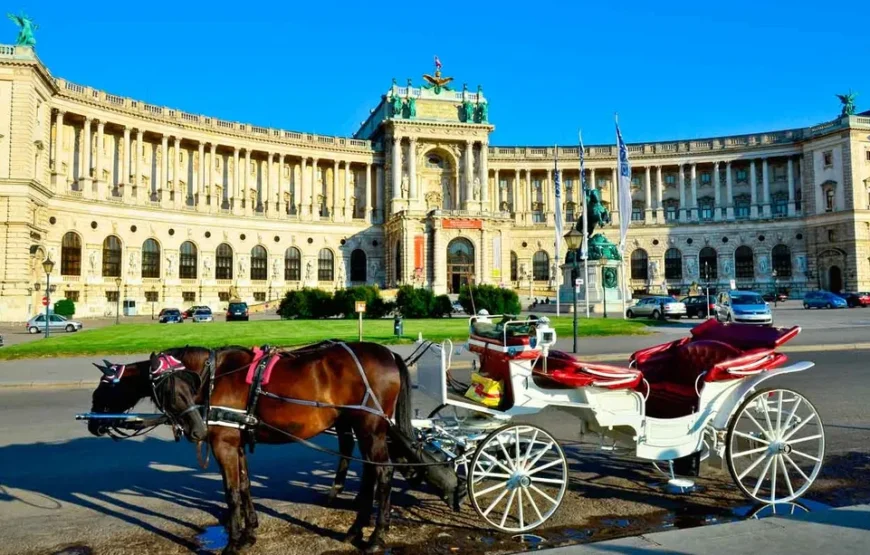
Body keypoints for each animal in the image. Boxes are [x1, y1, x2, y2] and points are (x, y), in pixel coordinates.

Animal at [87, 340, 416, 552]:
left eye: (103, 386)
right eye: (168, 389)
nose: (93, 422)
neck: (213, 378)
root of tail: (389, 353)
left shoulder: (223, 444)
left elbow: (231, 491)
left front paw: (233, 542)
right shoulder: (236, 441)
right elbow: (244, 485)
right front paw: (249, 531)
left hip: (370, 429)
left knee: (383, 474)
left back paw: (376, 537)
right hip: (362, 428)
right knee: (370, 473)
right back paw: (356, 529)